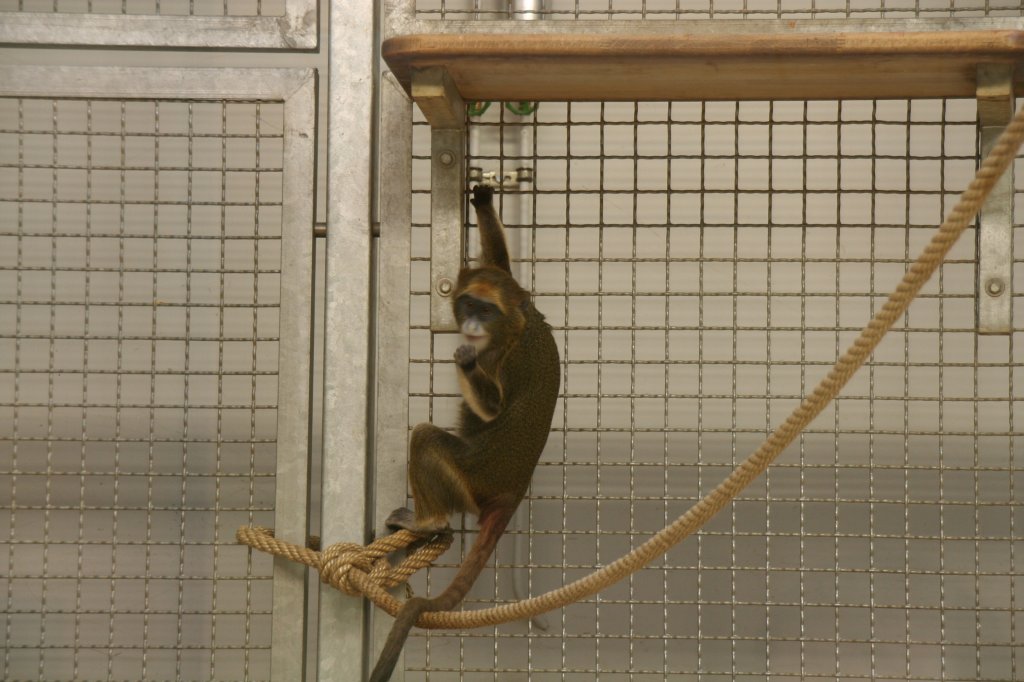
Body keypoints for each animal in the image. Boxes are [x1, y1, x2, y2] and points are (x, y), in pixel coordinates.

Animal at [368, 183, 561, 675]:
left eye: (485, 311)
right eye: (469, 304)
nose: (472, 323)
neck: (515, 324)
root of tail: (510, 492)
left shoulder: (499, 358)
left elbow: (491, 410)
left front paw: (467, 363)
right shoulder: (518, 294)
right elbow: (498, 261)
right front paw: (481, 199)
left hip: (471, 479)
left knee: (426, 440)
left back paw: (429, 520)